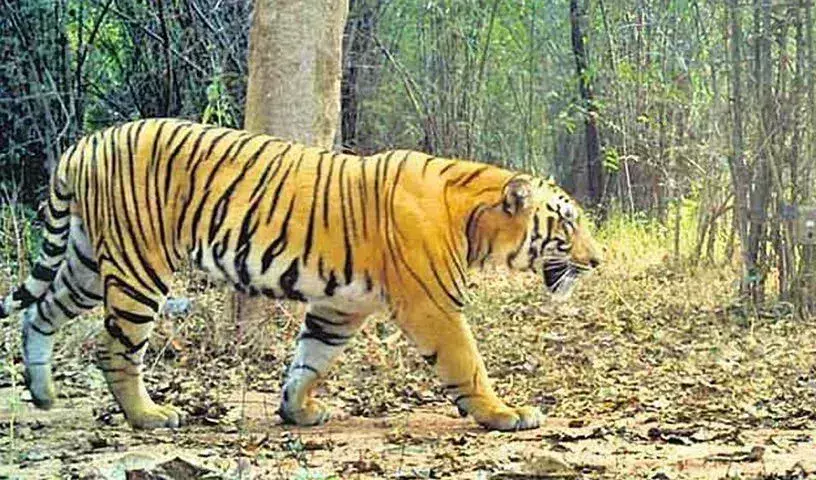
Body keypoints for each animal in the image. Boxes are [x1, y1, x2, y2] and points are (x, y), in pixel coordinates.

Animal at [0, 119, 603, 431]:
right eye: (567, 223)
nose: (598, 261)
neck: (474, 219)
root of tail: (86, 142)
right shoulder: (431, 304)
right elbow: (468, 363)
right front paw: (505, 413)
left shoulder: (341, 305)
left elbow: (310, 359)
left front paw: (297, 411)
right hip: (138, 266)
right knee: (114, 349)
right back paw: (149, 416)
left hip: (85, 261)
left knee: (39, 312)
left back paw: (42, 392)